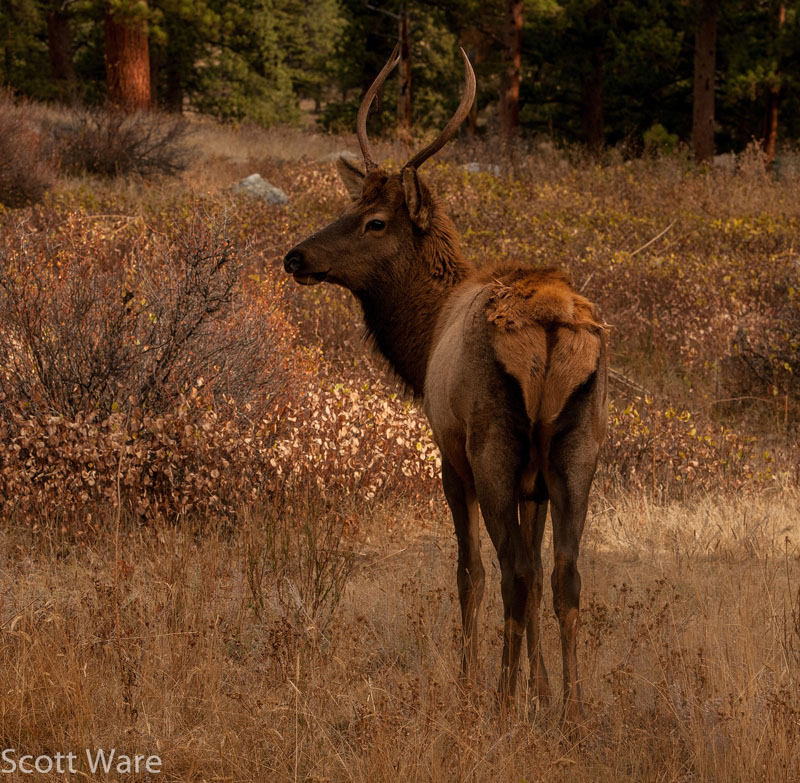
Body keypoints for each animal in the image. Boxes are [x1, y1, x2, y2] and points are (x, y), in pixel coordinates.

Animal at [283, 45, 608, 726]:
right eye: (349, 207)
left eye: (376, 221)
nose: (296, 256)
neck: (423, 334)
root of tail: (551, 325)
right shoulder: (537, 485)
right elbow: (540, 572)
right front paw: (542, 690)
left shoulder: (449, 455)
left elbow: (470, 573)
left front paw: (473, 684)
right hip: (579, 451)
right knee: (564, 574)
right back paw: (572, 709)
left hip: (492, 446)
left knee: (510, 571)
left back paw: (501, 702)